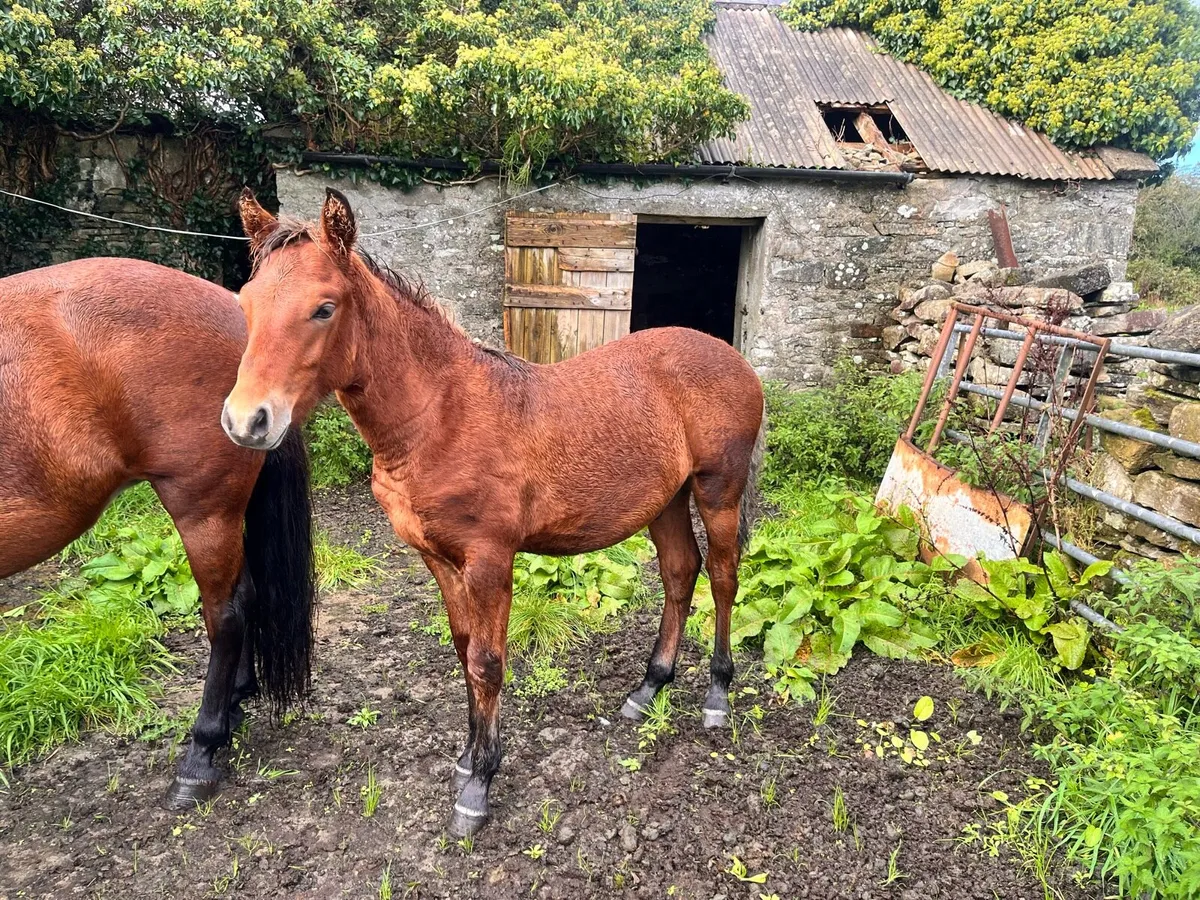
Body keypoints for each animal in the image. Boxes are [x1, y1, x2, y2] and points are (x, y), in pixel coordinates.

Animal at [224, 188, 765, 837]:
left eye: (324, 309)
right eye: (245, 304)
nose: (246, 421)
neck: (440, 415)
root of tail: (732, 358)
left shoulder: (489, 559)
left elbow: (486, 662)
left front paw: (478, 788)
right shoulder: (439, 559)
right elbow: (463, 650)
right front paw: (466, 758)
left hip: (718, 491)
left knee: (724, 578)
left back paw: (716, 697)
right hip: (665, 500)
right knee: (681, 573)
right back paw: (647, 688)